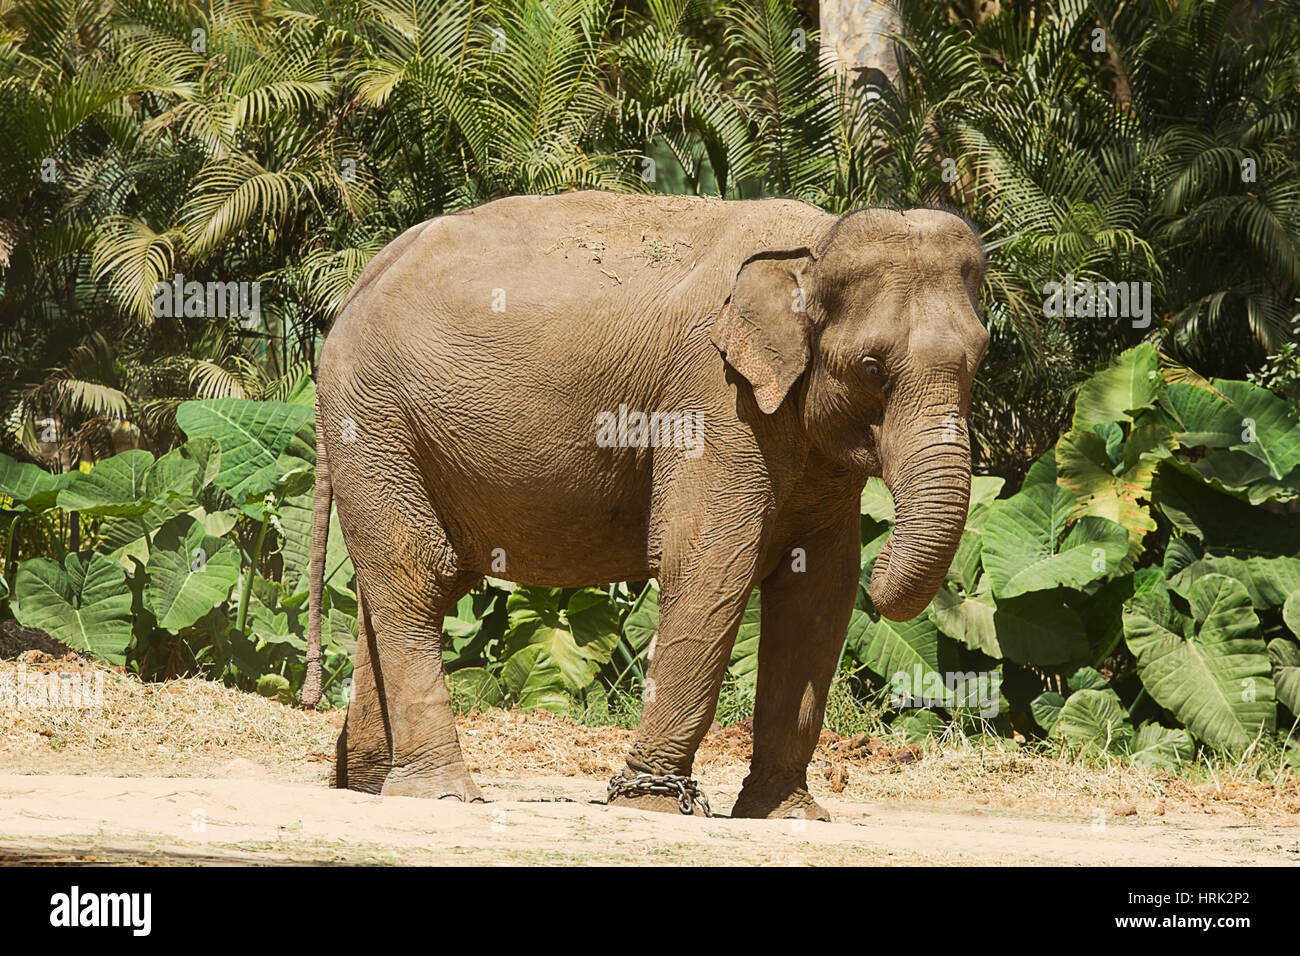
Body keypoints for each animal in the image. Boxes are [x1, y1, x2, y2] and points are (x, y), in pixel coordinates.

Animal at [301, 188, 982, 822]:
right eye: (871, 367)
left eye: (978, 363)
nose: (887, 560)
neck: (815, 244)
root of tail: (365, 276)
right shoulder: (714, 400)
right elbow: (709, 567)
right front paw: (650, 803)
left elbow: (820, 590)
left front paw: (789, 815)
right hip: (375, 418)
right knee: (415, 579)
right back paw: (441, 794)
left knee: (402, 590)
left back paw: (368, 785)